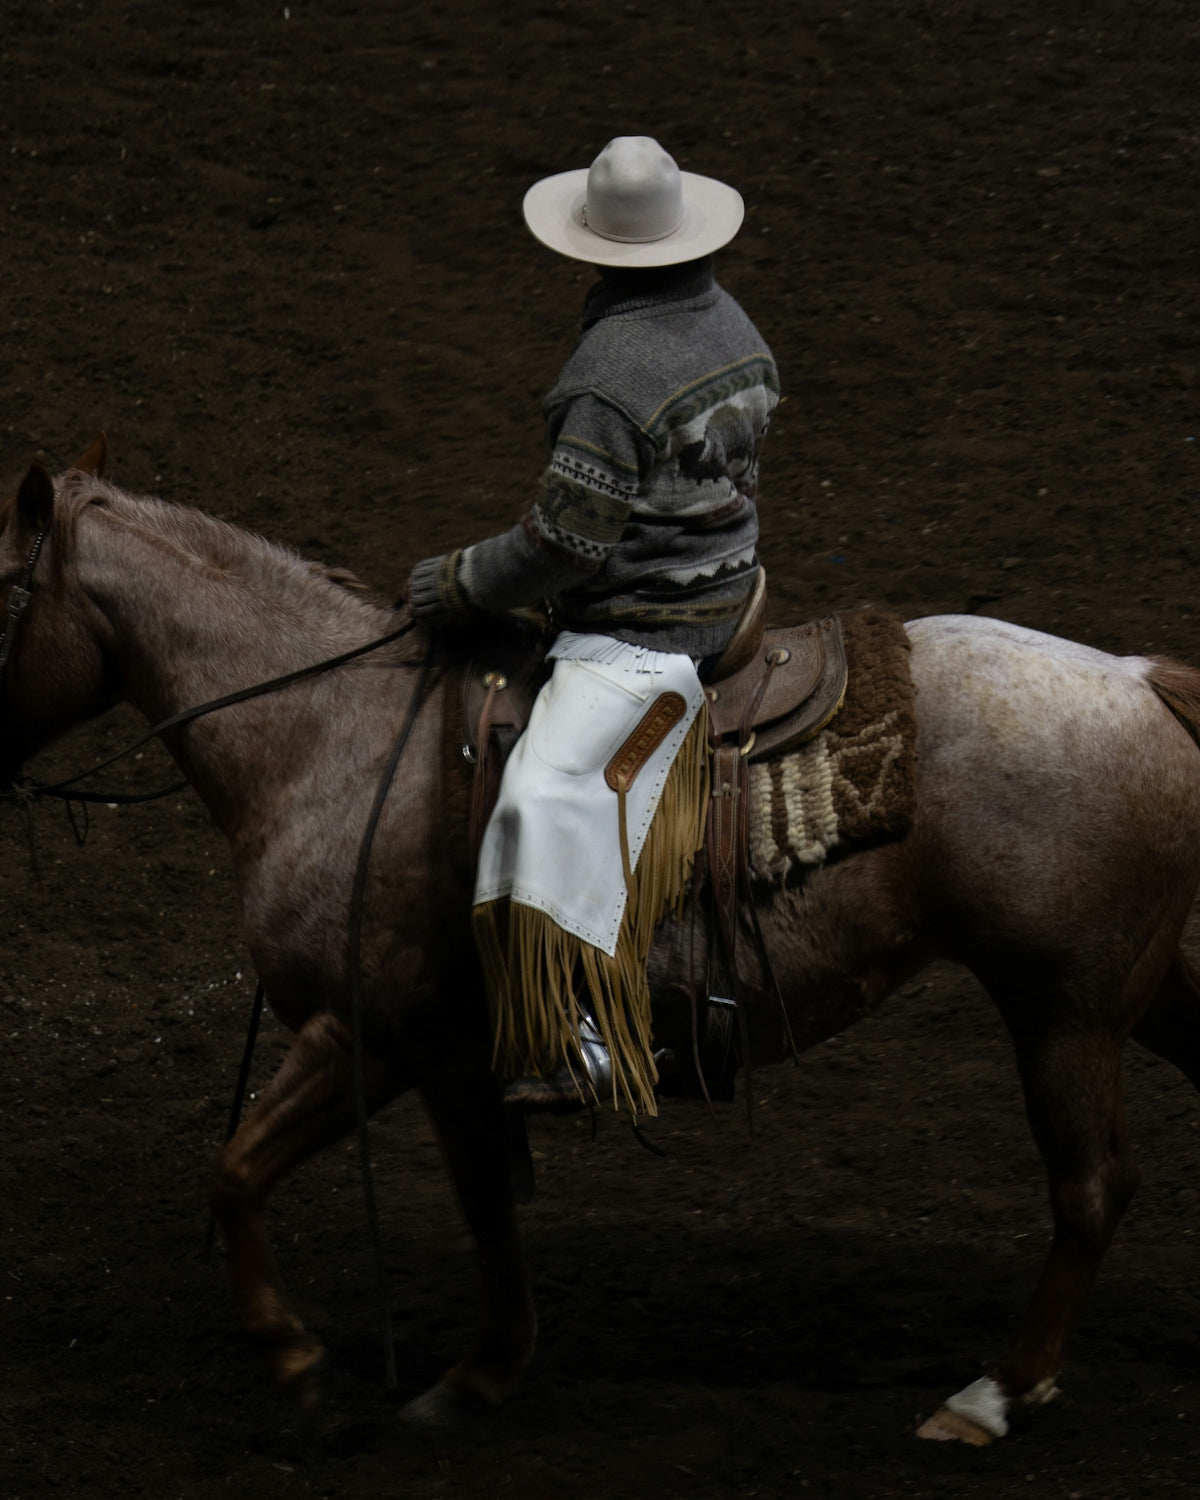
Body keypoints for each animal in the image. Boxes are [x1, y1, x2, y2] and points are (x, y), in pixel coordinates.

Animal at [4, 441, 1200, 1446]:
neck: (331, 739)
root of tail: (1138, 679)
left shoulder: (365, 1034)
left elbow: (236, 1171)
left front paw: (293, 1358)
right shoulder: (453, 1063)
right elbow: (486, 1208)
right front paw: (480, 1374)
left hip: (1064, 1009)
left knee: (1092, 1187)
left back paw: (993, 1392)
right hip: (1143, 994)